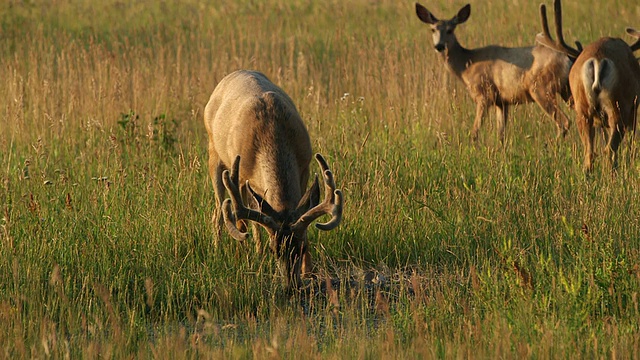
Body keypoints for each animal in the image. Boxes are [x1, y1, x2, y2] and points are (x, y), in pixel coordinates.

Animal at [205, 70, 344, 290]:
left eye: (302, 248)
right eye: (274, 251)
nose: (290, 286)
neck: (272, 133)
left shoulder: (304, 167)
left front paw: (309, 271)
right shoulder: (246, 178)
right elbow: (252, 222)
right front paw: (256, 255)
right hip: (215, 156)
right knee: (220, 210)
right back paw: (222, 250)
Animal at [416, 2, 576, 145]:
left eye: (450, 30)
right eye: (432, 29)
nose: (439, 46)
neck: (466, 66)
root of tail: (567, 59)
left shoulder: (484, 95)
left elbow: (475, 132)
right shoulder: (502, 102)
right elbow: (501, 134)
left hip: (541, 88)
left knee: (564, 122)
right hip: (566, 90)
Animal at [536, 0, 640, 173]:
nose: (569, 100)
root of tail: (598, 59)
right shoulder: (633, 106)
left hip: (584, 108)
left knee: (589, 153)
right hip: (619, 104)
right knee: (609, 149)